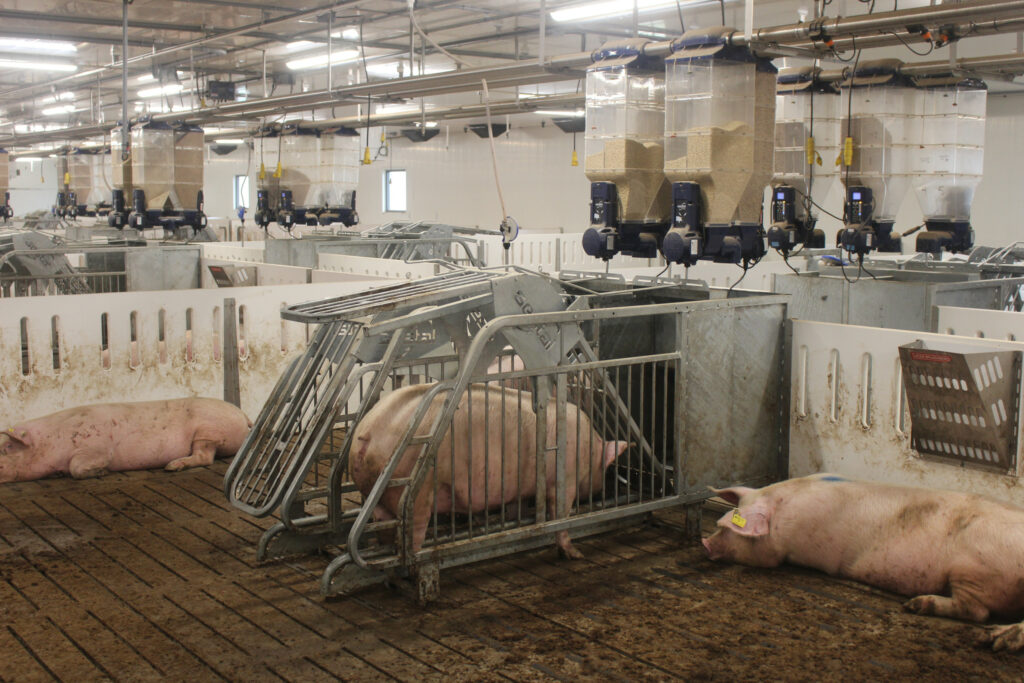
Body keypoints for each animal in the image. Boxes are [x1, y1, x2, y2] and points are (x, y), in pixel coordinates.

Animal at [0, 397, 253, 483]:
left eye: (5, 449)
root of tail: (244, 416)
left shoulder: (95, 447)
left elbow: (77, 466)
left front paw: (101, 472)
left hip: (208, 431)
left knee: (204, 456)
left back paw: (172, 466)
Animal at [348, 385, 626, 561]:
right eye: (606, 467)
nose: (605, 488)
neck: (589, 447)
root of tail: (367, 433)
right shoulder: (564, 480)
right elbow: (560, 516)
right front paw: (575, 554)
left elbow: (516, 506)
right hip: (417, 489)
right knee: (410, 533)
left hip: (377, 492)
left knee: (383, 527)